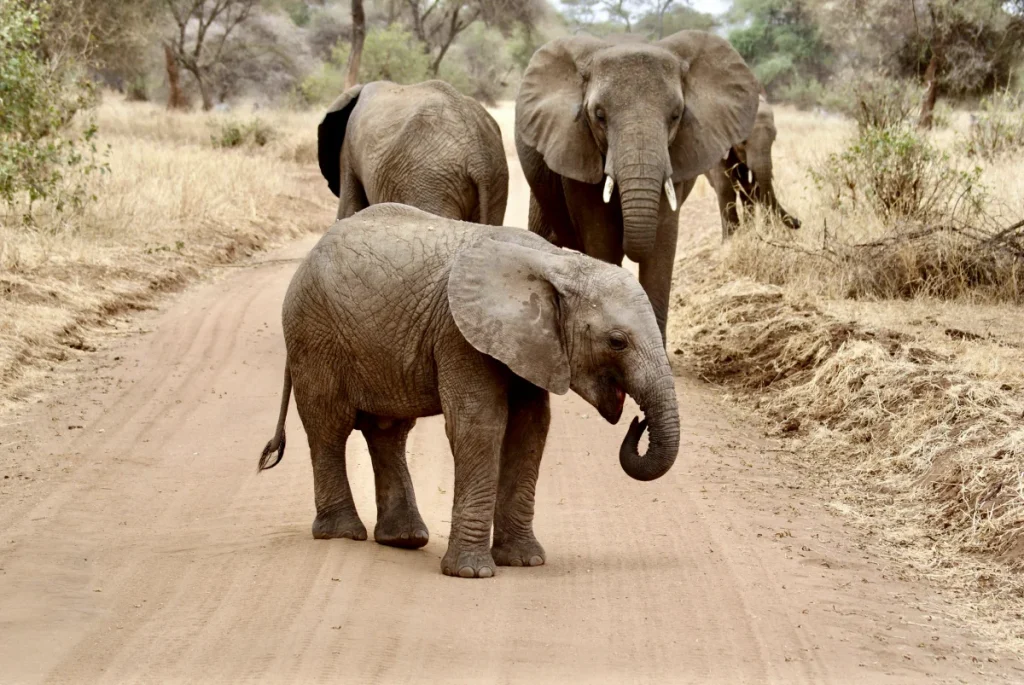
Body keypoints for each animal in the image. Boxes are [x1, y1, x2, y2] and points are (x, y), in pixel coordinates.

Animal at [260, 201, 684, 577]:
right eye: (617, 342)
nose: (638, 422)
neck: (554, 262)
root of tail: (309, 256)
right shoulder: (460, 334)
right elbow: (480, 425)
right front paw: (471, 573)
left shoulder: (532, 345)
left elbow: (530, 429)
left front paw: (525, 562)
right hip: (313, 334)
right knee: (329, 426)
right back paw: (343, 534)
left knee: (388, 431)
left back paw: (405, 539)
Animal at [704, 93, 798, 237]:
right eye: (743, 141)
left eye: (774, 138)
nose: (799, 222)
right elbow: (724, 186)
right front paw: (731, 239)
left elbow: (756, 186)